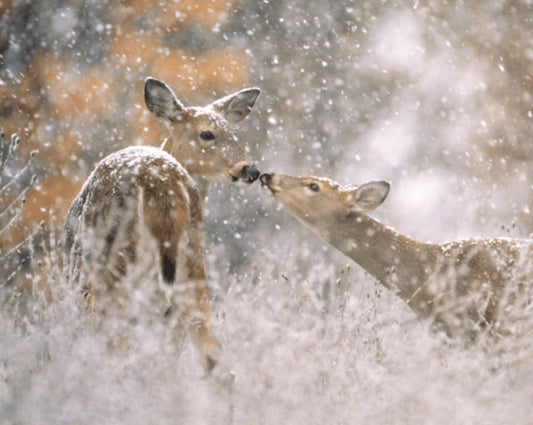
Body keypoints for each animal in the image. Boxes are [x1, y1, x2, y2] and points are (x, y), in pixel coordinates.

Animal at [65, 77, 260, 372]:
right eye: (206, 134)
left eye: (233, 133)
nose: (251, 170)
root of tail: (160, 181)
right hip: (191, 263)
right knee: (211, 355)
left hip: (116, 264)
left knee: (118, 346)